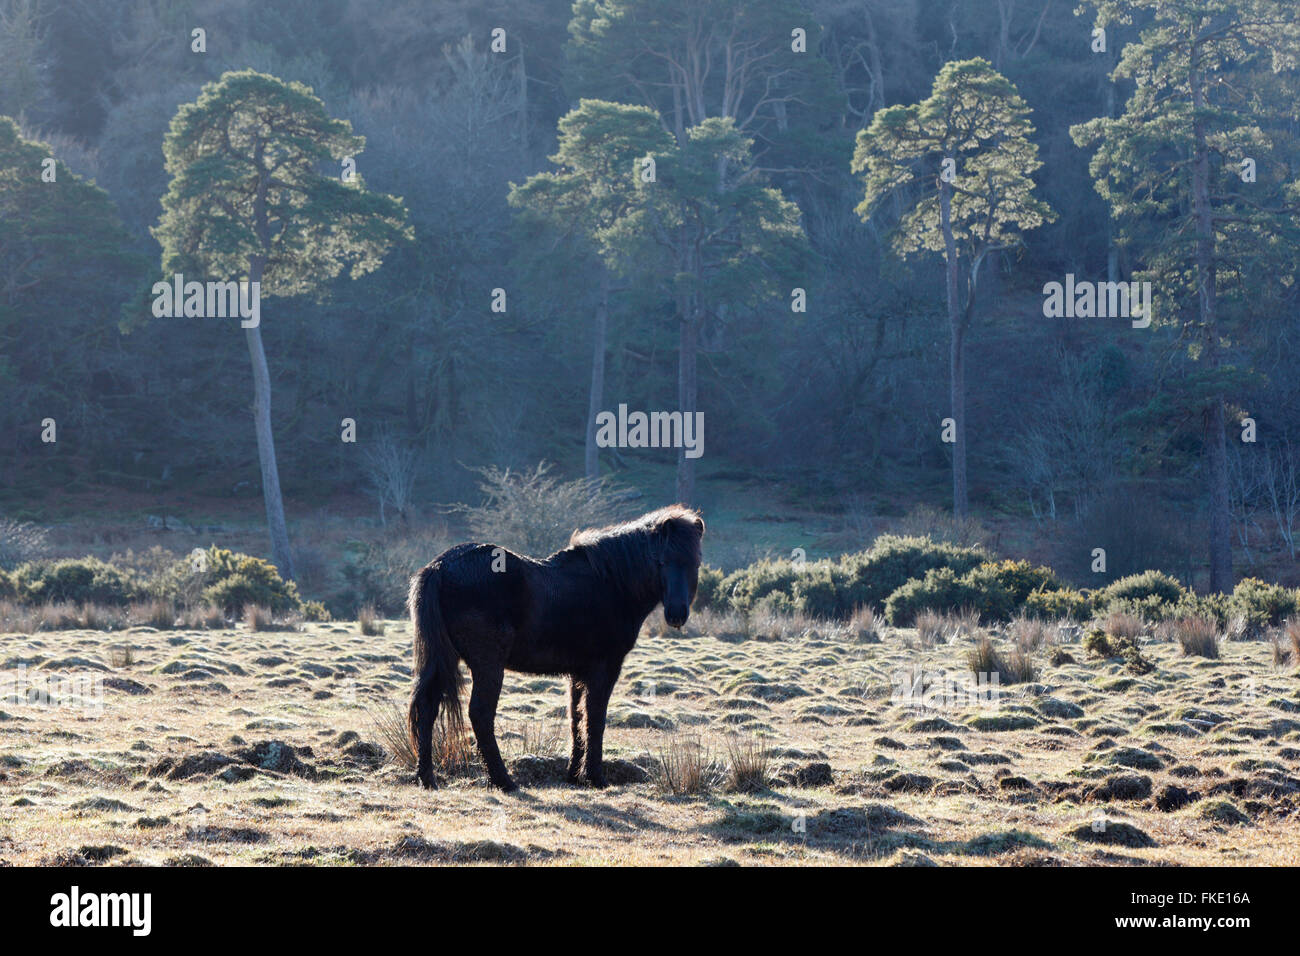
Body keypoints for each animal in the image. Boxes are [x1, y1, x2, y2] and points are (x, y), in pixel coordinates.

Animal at [407, 504, 704, 791]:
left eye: (695, 563)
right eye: (661, 561)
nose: (676, 614)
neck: (611, 583)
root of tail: (440, 567)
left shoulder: (578, 673)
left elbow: (576, 719)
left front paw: (574, 776)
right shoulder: (604, 669)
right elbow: (595, 719)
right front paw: (595, 777)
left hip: (443, 659)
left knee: (427, 707)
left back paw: (427, 778)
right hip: (487, 665)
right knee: (480, 714)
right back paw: (504, 781)